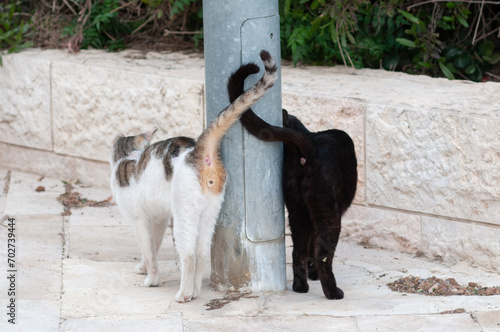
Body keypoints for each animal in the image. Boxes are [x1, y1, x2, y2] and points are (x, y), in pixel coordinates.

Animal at [109, 50, 278, 302]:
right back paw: (196, 292)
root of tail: (199, 152)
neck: (128, 158)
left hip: (184, 215)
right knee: (202, 253)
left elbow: (148, 251)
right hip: (208, 213)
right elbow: (152, 248)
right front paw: (142, 268)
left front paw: (151, 279)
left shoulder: (139, 219)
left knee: (188, 254)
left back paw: (183, 294)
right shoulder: (158, 219)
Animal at [229, 63, 358, 300]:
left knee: (298, 249)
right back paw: (332, 292)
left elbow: (307, 247)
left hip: (297, 209)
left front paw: (311, 274)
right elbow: (315, 249)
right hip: (326, 210)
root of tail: (310, 143)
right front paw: (315, 274)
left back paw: (300, 286)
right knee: (322, 252)